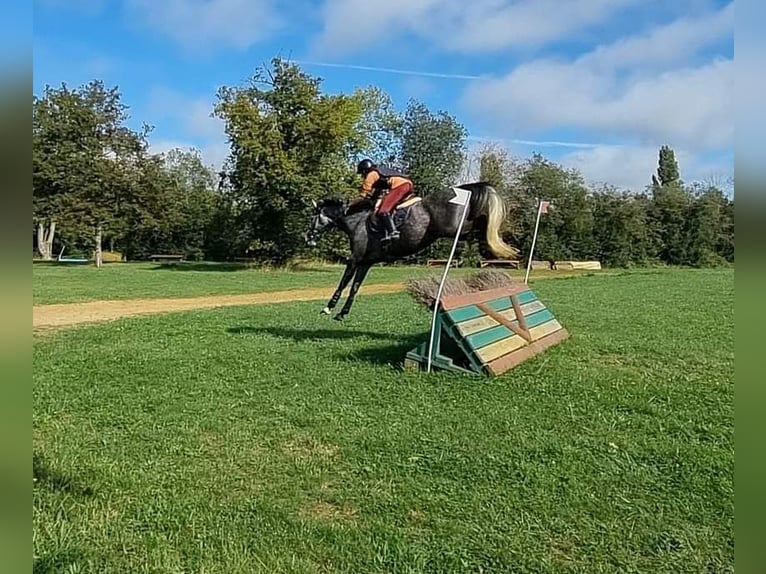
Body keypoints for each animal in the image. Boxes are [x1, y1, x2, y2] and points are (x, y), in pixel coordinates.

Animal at [308, 183, 520, 322]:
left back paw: (491, 247)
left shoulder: (355, 259)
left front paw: (328, 308)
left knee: (478, 226)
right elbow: (355, 287)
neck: (357, 221)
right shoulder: (365, 263)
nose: (308, 238)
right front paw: (342, 313)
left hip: (454, 228)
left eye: (313, 218)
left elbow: (343, 283)